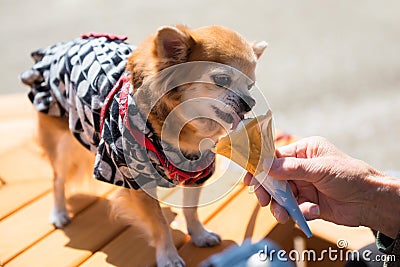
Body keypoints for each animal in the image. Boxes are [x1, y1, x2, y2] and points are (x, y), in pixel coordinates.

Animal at [20, 24, 268, 266]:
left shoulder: (196, 174)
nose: (250, 101)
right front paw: (168, 256)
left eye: (250, 85)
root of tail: (64, 45)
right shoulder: (138, 181)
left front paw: (199, 235)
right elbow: (159, 223)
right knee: (57, 179)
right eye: (222, 80)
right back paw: (59, 213)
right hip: (63, 142)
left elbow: (191, 210)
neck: (183, 131)